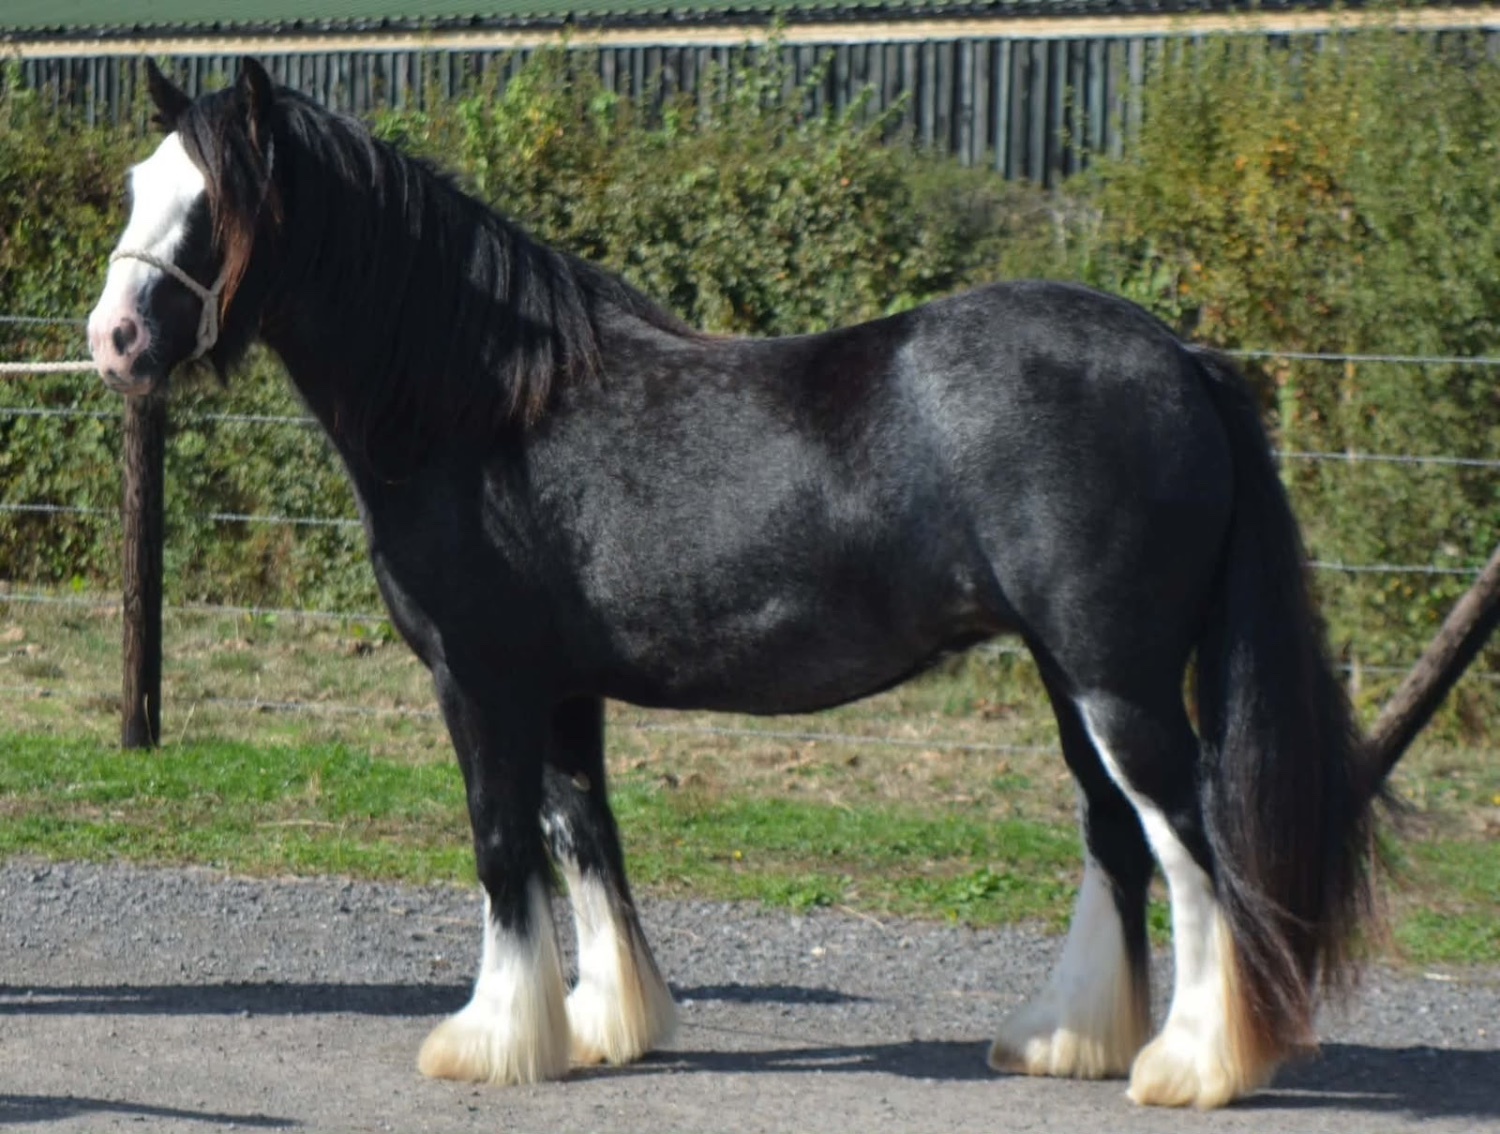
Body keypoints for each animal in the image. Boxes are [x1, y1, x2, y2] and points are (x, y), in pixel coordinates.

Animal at [87, 57, 1388, 1109]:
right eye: (138, 183)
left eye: (211, 203)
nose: (114, 340)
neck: (488, 405)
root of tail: (1179, 356)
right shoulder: (562, 689)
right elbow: (583, 836)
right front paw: (604, 1026)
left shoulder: (480, 680)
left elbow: (503, 845)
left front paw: (490, 1041)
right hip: (1072, 678)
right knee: (1115, 837)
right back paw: (1065, 1041)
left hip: (1119, 681)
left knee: (1190, 844)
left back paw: (1192, 1067)